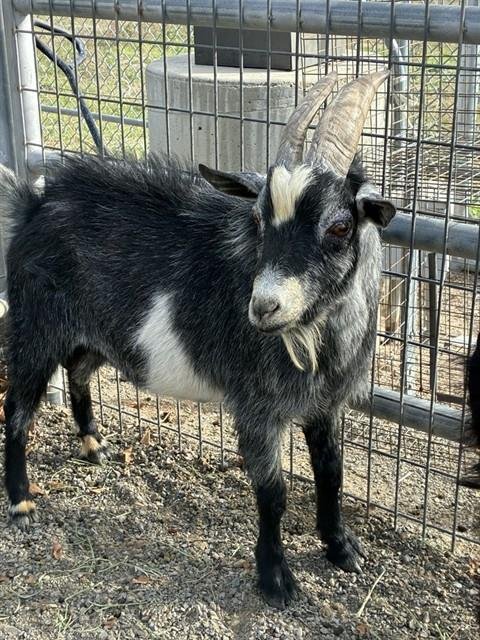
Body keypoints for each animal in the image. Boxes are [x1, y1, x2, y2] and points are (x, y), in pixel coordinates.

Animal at [1, 70, 395, 608]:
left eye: (339, 226)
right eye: (257, 220)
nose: (264, 307)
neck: (317, 337)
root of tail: (33, 205)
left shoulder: (326, 403)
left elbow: (331, 472)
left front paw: (342, 548)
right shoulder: (255, 406)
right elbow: (272, 492)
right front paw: (276, 579)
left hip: (99, 337)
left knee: (78, 373)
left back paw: (93, 444)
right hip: (34, 325)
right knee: (19, 409)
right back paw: (21, 502)